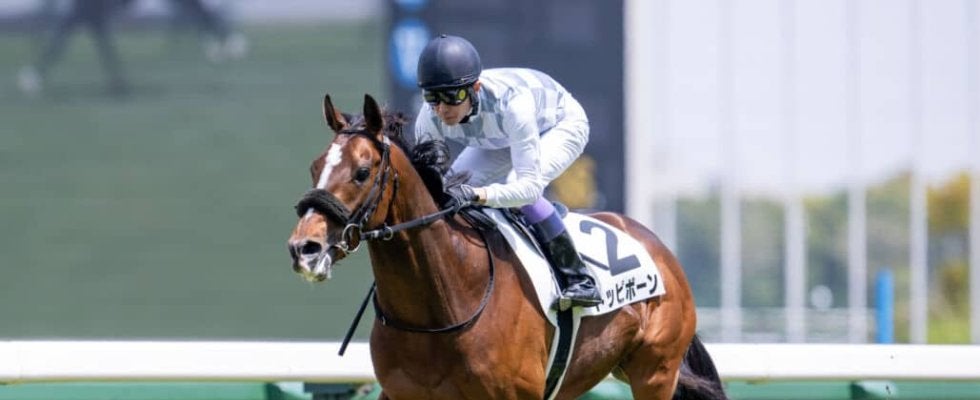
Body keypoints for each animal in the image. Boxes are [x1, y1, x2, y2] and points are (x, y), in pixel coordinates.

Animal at [287, 93, 726, 400]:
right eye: (314, 166)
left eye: (362, 172)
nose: (304, 248)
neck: (443, 303)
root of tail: (658, 247)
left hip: (655, 371)